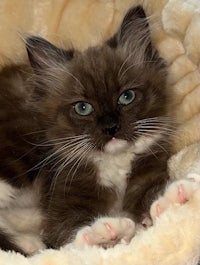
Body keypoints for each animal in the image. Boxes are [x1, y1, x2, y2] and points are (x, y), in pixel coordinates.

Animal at [0, 5, 176, 254]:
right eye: (83, 108)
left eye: (127, 96)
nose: (111, 127)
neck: (115, 163)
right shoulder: (63, 190)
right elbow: (67, 236)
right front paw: (104, 232)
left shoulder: (150, 171)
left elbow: (151, 194)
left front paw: (174, 197)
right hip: (20, 149)